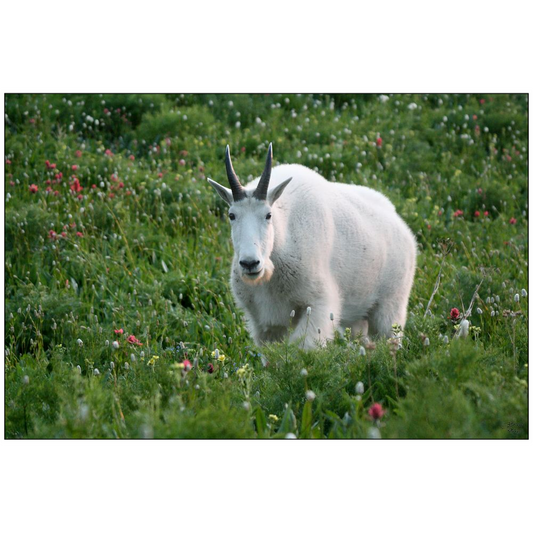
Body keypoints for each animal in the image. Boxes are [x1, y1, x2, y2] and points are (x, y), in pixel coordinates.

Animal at [208, 143, 416, 350]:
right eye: (232, 215)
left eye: (268, 215)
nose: (250, 263)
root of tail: (404, 228)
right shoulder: (265, 323)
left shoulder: (318, 304)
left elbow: (304, 347)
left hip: (391, 304)